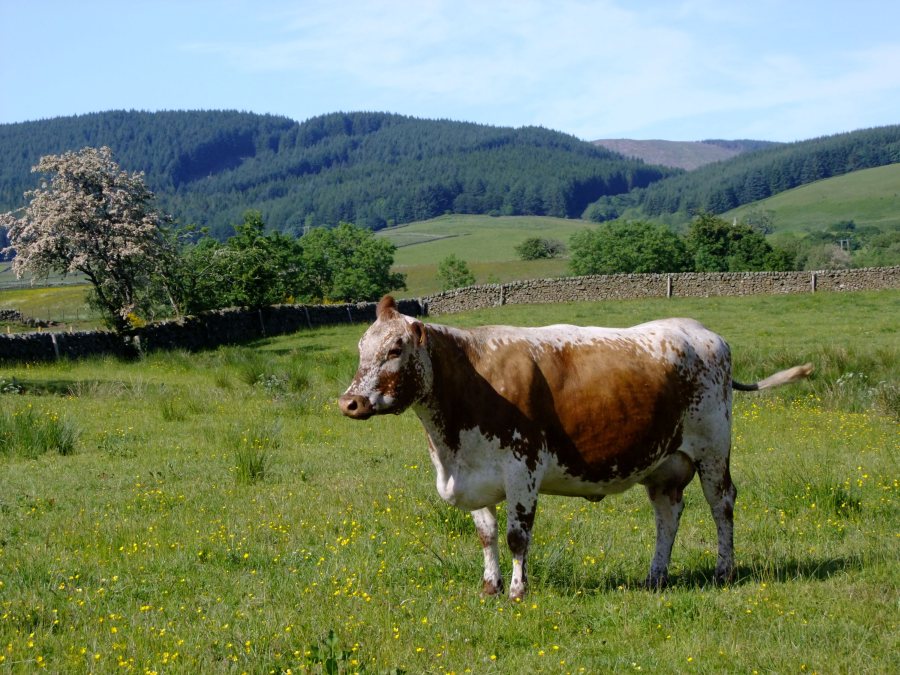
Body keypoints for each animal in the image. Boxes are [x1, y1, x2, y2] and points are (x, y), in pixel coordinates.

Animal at [336, 298, 808, 600]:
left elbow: (517, 536)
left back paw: (724, 571)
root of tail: (699, 330)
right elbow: (486, 533)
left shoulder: (522, 467)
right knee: (668, 514)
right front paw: (489, 587)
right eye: (360, 348)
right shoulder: (474, 473)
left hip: (712, 449)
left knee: (721, 504)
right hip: (663, 462)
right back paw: (655, 577)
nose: (350, 402)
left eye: (395, 348)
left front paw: (517, 591)